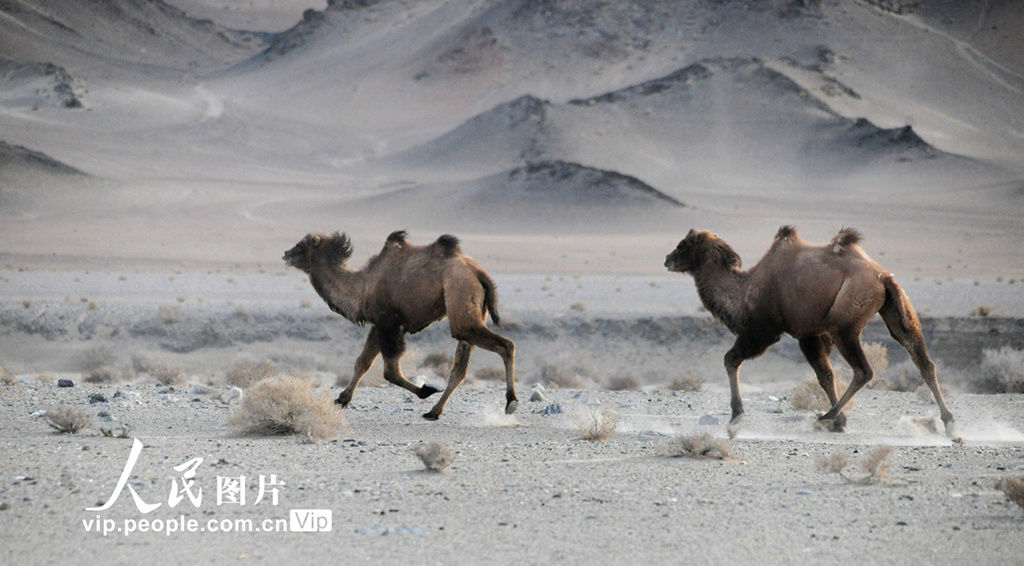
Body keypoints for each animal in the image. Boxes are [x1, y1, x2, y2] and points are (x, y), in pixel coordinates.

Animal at [282, 229, 516, 419]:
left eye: (301, 245)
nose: (285, 254)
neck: (363, 286)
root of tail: (479, 273)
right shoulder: (378, 324)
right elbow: (362, 363)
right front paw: (341, 399)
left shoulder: (389, 324)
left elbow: (390, 372)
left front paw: (426, 390)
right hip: (472, 309)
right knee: (460, 367)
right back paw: (433, 412)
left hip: (461, 295)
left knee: (506, 345)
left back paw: (511, 402)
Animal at [667, 225, 954, 436]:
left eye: (683, 244)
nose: (667, 260)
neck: (744, 290)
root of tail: (883, 278)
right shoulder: (809, 334)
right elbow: (824, 376)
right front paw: (842, 422)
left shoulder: (762, 332)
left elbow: (730, 359)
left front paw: (737, 416)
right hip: (895, 310)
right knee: (922, 360)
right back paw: (949, 422)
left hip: (844, 323)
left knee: (864, 370)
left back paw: (824, 417)